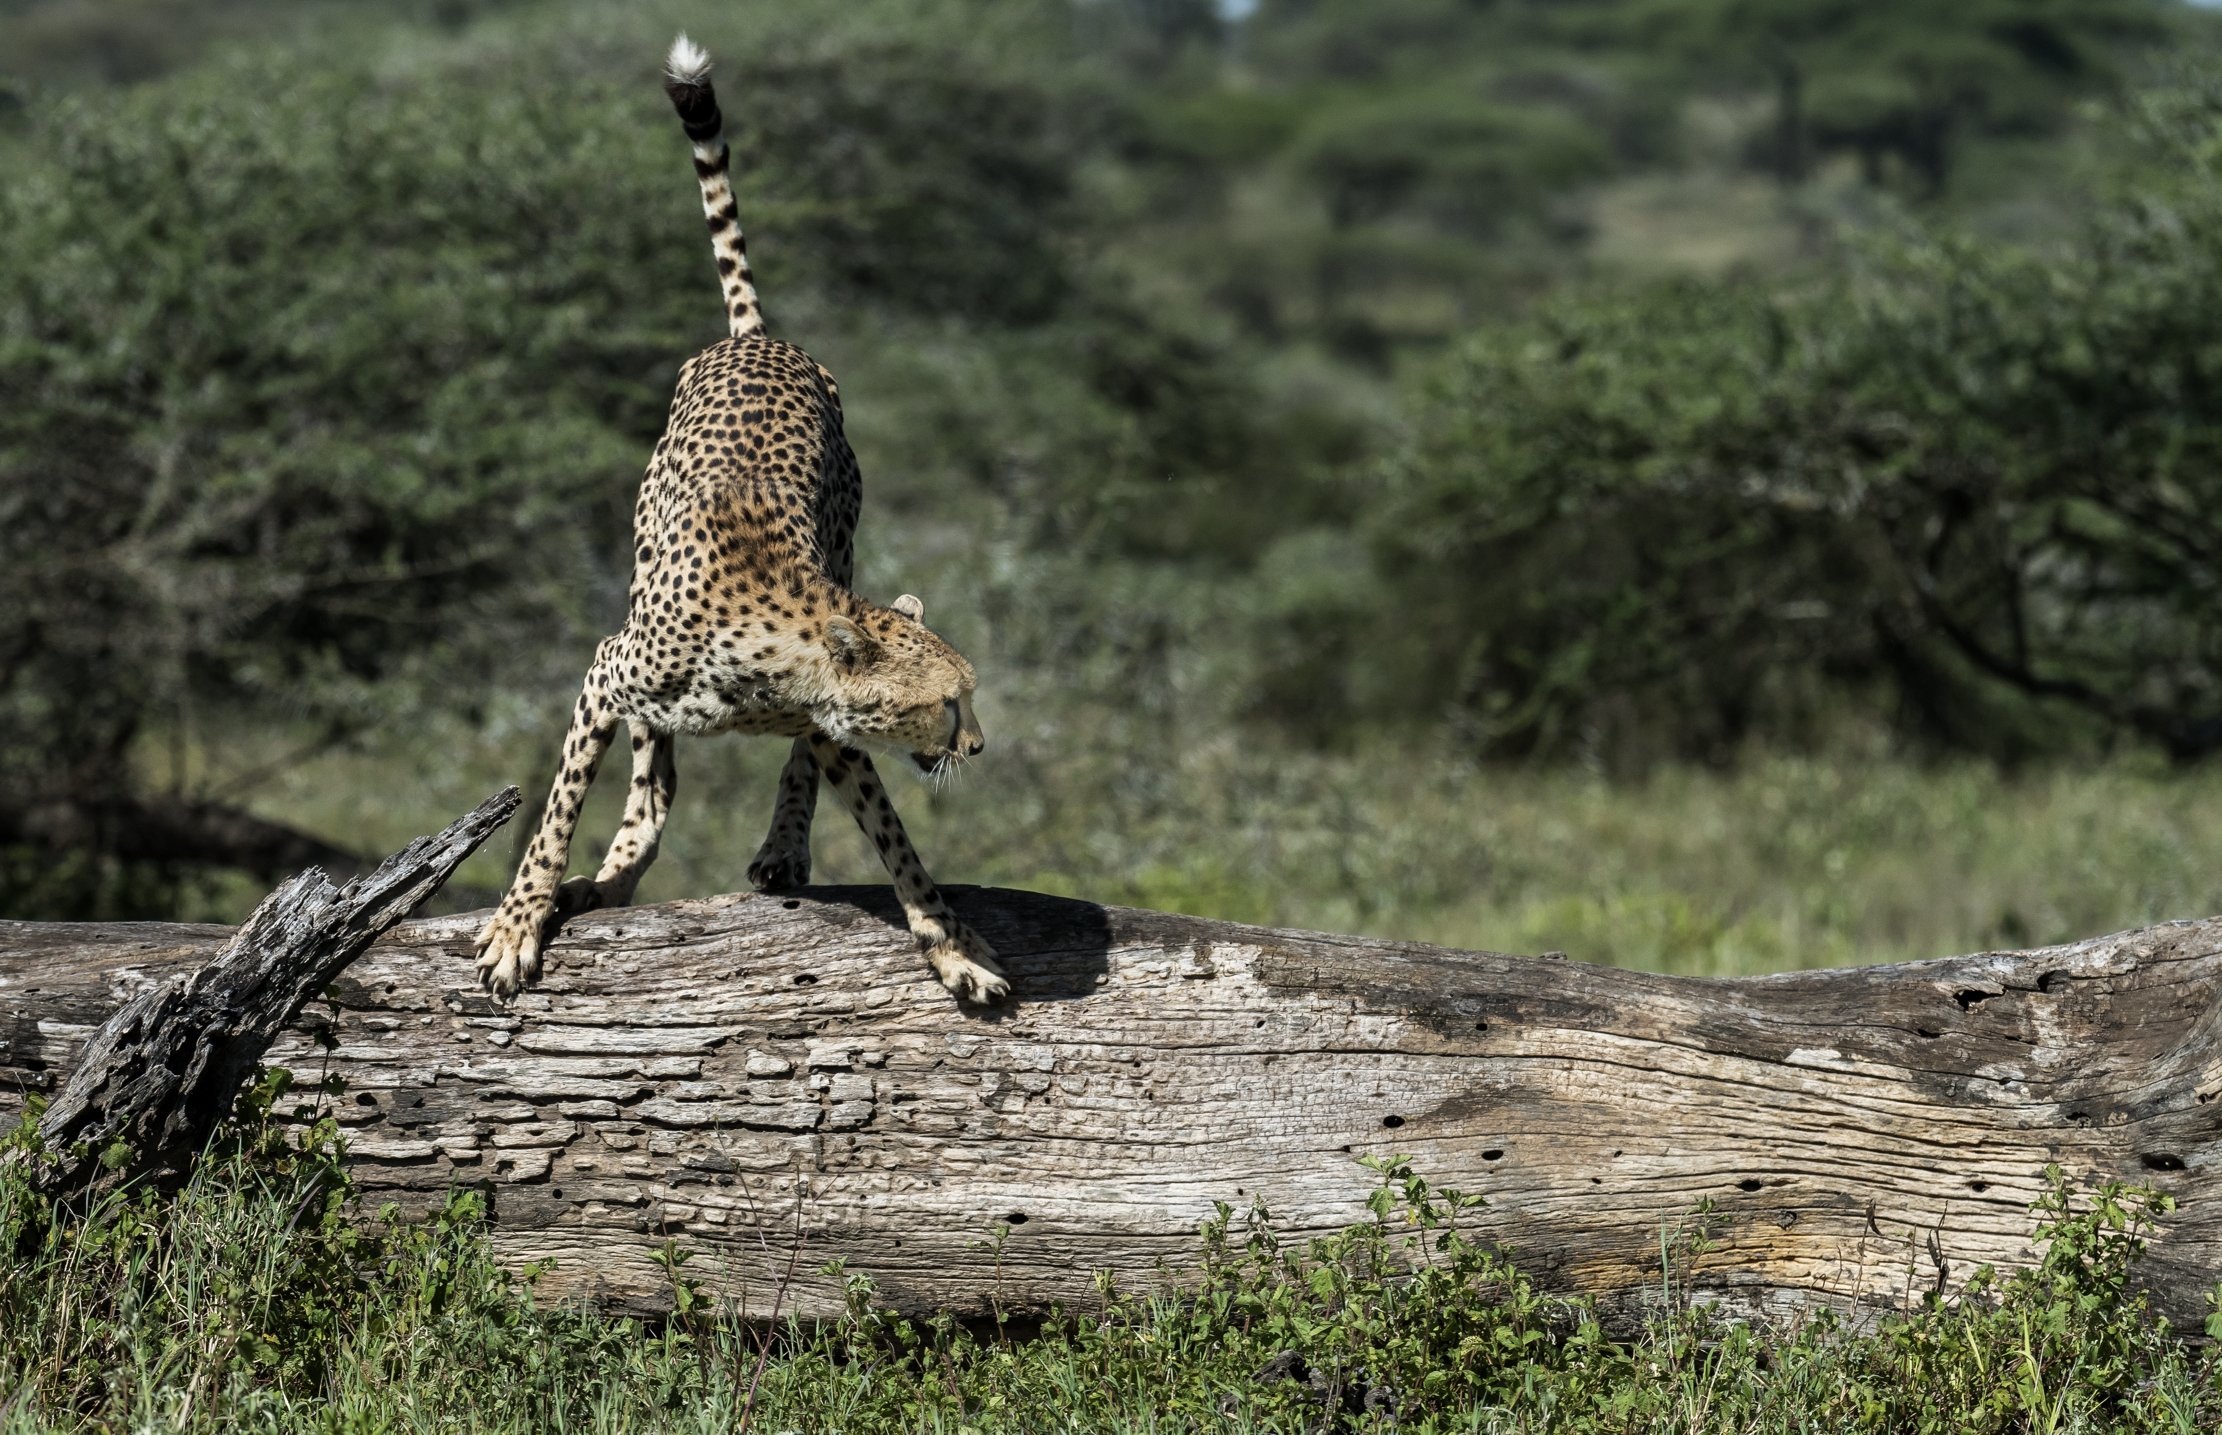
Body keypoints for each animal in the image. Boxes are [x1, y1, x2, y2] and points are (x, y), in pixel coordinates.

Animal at [471, 33, 1010, 1006]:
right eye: (948, 702)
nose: (978, 746)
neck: (776, 671)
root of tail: (760, 340)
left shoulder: (833, 732)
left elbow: (897, 842)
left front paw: (953, 946)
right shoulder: (607, 670)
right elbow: (555, 813)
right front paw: (517, 923)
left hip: (841, 537)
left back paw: (778, 849)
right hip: (639, 576)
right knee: (650, 784)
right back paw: (615, 870)